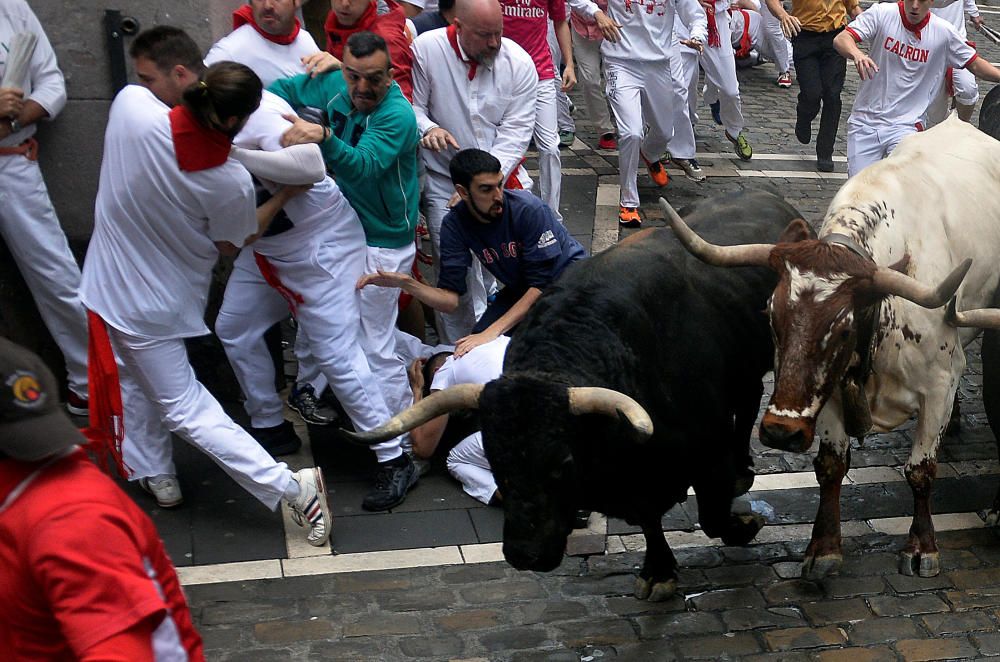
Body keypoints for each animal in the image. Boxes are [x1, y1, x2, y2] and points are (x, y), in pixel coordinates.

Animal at [668, 116, 1000, 584]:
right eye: (771, 315)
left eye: (842, 330)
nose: (779, 432)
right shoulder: (826, 393)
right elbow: (830, 467)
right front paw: (823, 548)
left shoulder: (938, 383)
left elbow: (921, 471)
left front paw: (922, 546)